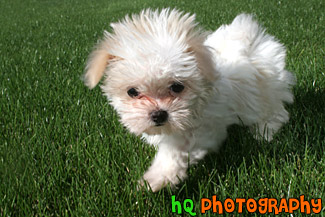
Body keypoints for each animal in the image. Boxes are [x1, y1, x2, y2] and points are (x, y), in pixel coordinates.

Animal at [83, 8, 294, 192]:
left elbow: (176, 151)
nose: (158, 114)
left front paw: (157, 179)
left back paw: (264, 132)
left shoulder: (205, 127)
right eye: (132, 92)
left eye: (177, 87)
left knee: (276, 112)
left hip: (266, 91)